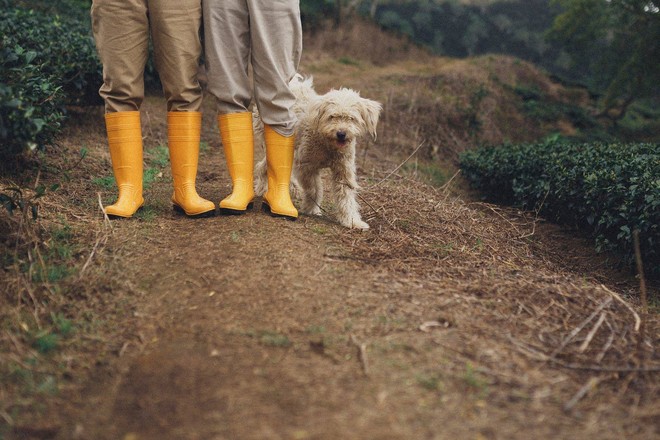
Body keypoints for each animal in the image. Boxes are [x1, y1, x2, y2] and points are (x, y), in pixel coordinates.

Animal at [255, 75, 384, 230]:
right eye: (332, 116)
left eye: (351, 118)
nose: (341, 134)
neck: (328, 145)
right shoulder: (305, 165)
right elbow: (314, 189)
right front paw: (311, 208)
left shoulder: (343, 170)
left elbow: (346, 196)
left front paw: (352, 220)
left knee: (265, 165)